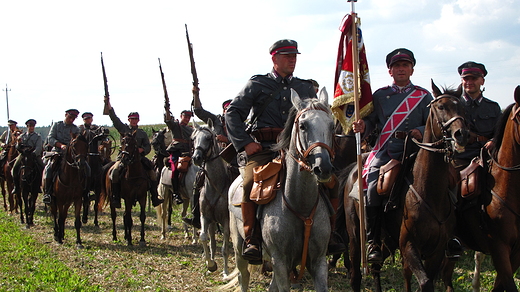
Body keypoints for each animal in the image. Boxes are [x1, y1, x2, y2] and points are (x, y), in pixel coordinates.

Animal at [228, 88, 334, 292]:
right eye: (303, 126)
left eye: (332, 125)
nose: (323, 167)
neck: (300, 206)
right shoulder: (280, 262)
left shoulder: (318, 262)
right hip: (239, 249)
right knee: (243, 277)